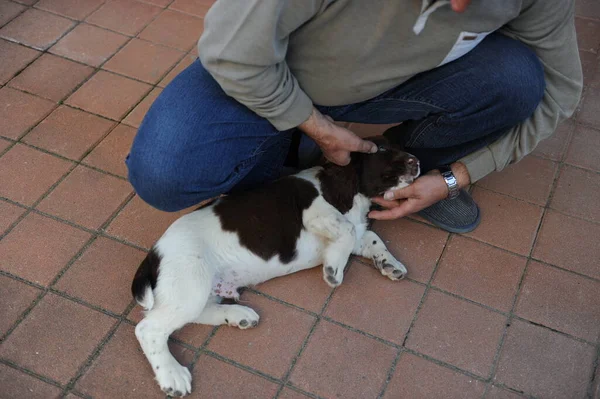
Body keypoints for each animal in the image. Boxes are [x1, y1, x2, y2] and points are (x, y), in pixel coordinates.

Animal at [132, 135, 422, 396]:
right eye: (381, 149)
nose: (418, 162)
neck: (350, 194)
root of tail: (154, 253)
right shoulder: (316, 213)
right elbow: (348, 230)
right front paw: (333, 270)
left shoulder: (356, 230)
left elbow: (371, 237)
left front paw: (389, 263)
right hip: (189, 280)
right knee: (148, 328)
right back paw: (172, 375)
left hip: (198, 288)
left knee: (195, 313)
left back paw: (239, 315)